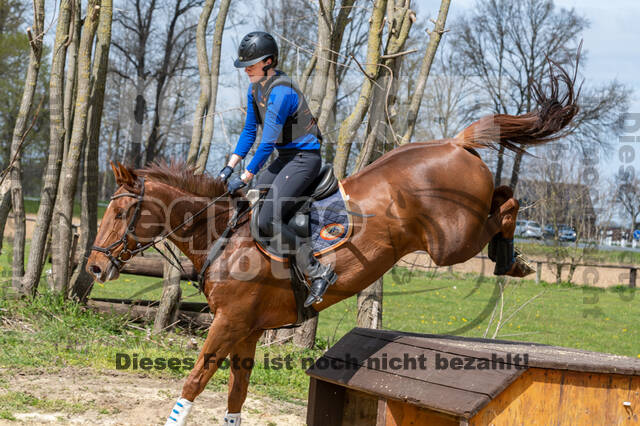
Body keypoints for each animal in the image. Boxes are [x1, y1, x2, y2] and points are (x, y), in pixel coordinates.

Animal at [86, 65, 580, 424]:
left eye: (119, 213)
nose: (92, 267)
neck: (222, 234)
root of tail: (453, 143)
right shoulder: (247, 329)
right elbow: (235, 396)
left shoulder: (229, 323)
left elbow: (193, 383)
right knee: (505, 194)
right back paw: (511, 258)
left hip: (451, 242)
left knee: (508, 200)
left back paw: (512, 259)